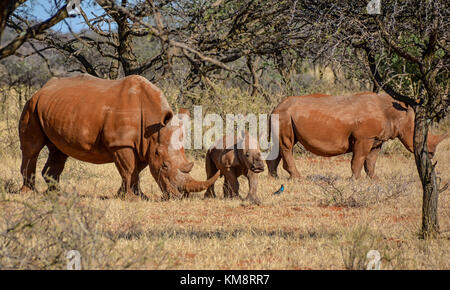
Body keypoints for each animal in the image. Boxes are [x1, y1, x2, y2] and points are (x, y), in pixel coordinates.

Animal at [18, 74, 219, 199]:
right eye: (165, 166)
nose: (182, 196)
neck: (154, 125)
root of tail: (43, 88)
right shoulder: (122, 143)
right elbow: (128, 169)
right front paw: (133, 198)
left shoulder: (144, 145)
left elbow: (135, 171)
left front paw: (133, 196)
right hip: (31, 105)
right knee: (32, 149)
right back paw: (29, 193)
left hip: (56, 108)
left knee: (59, 151)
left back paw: (55, 194)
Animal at [268, 93, 446, 179]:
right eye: (418, 135)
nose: (431, 154)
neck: (396, 114)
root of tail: (275, 107)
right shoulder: (364, 138)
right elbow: (359, 158)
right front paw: (355, 179)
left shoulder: (376, 139)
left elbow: (371, 160)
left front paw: (374, 179)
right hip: (284, 115)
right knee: (287, 145)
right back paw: (297, 178)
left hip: (283, 115)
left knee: (280, 146)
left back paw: (274, 177)